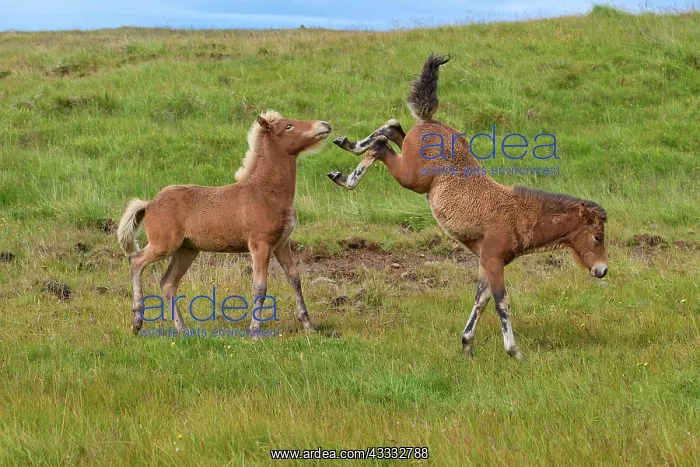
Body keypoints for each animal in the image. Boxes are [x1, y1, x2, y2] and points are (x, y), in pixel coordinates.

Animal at [117, 111, 332, 337]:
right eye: (288, 126)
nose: (325, 125)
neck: (264, 193)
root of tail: (149, 204)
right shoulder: (260, 245)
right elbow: (259, 287)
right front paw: (255, 332)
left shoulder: (282, 244)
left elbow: (295, 279)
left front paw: (309, 326)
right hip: (164, 244)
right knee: (136, 260)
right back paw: (137, 322)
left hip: (187, 249)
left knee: (168, 282)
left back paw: (182, 328)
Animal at [327, 55, 608, 360]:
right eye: (598, 237)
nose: (603, 270)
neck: (519, 214)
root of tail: (431, 121)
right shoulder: (493, 261)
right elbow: (501, 302)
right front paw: (514, 352)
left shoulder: (486, 261)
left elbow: (481, 299)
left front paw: (467, 345)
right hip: (412, 177)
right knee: (381, 145)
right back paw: (344, 176)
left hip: (411, 158)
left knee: (393, 128)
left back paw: (346, 143)